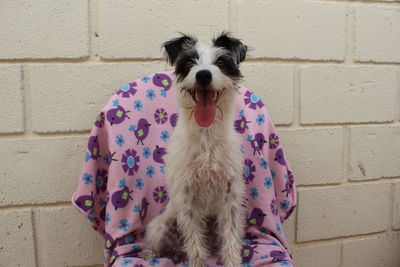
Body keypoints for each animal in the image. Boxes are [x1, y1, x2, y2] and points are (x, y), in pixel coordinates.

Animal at [141, 33, 247, 267]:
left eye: (220, 62)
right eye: (189, 62)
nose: (203, 75)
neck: (206, 137)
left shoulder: (230, 196)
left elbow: (231, 234)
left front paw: (232, 261)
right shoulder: (186, 196)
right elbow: (195, 242)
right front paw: (197, 262)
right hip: (159, 227)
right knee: (162, 244)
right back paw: (150, 253)